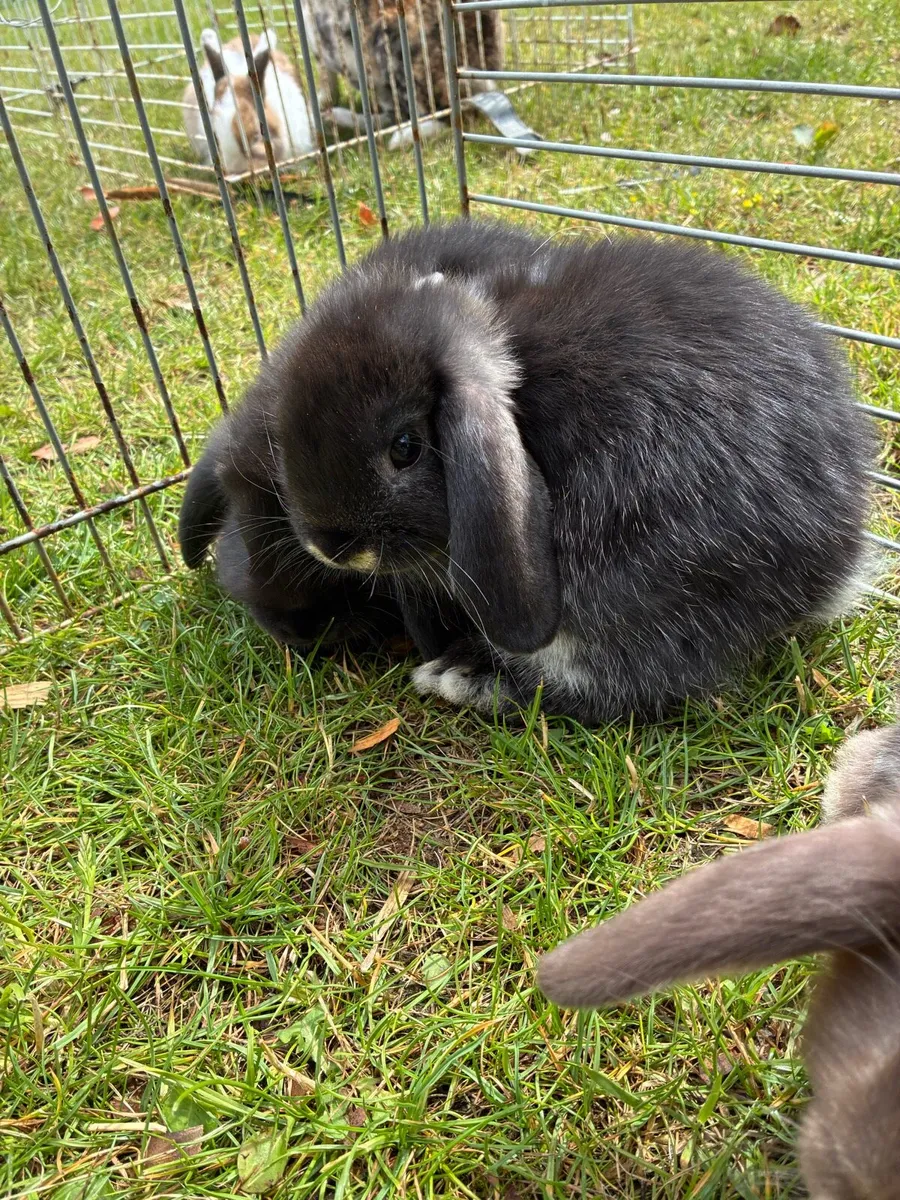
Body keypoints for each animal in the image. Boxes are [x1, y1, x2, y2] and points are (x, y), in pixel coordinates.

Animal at [306, 0, 503, 148]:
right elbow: (326, 81)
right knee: (393, 114)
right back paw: (335, 118)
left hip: (391, 42)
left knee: (444, 116)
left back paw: (401, 138)